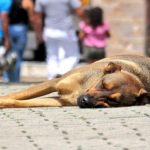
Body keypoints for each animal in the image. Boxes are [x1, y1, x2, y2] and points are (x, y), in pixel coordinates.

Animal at [0, 54, 150, 108]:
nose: (85, 101)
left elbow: (17, 101)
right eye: (103, 84)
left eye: (113, 101)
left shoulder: (61, 101)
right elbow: (17, 95)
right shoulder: (54, 83)